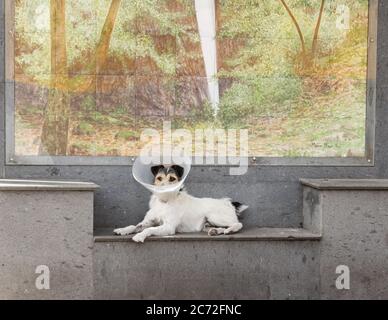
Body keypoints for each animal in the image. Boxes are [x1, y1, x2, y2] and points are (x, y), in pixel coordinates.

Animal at [113, 165, 249, 242]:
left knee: (238, 224)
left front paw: (140, 236)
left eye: (172, 179)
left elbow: (149, 229)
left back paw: (229, 230)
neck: (165, 201)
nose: (162, 188)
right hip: (209, 222)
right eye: (159, 178)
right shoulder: (148, 221)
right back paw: (215, 231)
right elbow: (135, 226)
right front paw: (122, 230)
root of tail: (228, 203)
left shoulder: (168, 227)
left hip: (215, 216)